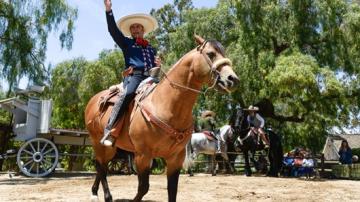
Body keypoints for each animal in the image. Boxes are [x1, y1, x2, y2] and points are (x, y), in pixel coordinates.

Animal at [84, 35, 239, 202]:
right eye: (210, 54)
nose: (233, 79)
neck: (166, 105)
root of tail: (94, 100)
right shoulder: (143, 155)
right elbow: (143, 188)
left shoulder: (175, 158)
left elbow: (172, 190)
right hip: (98, 142)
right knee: (100, 166)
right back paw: (104, 196)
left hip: (111, 147)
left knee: (102, 166)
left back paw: (95, 192)